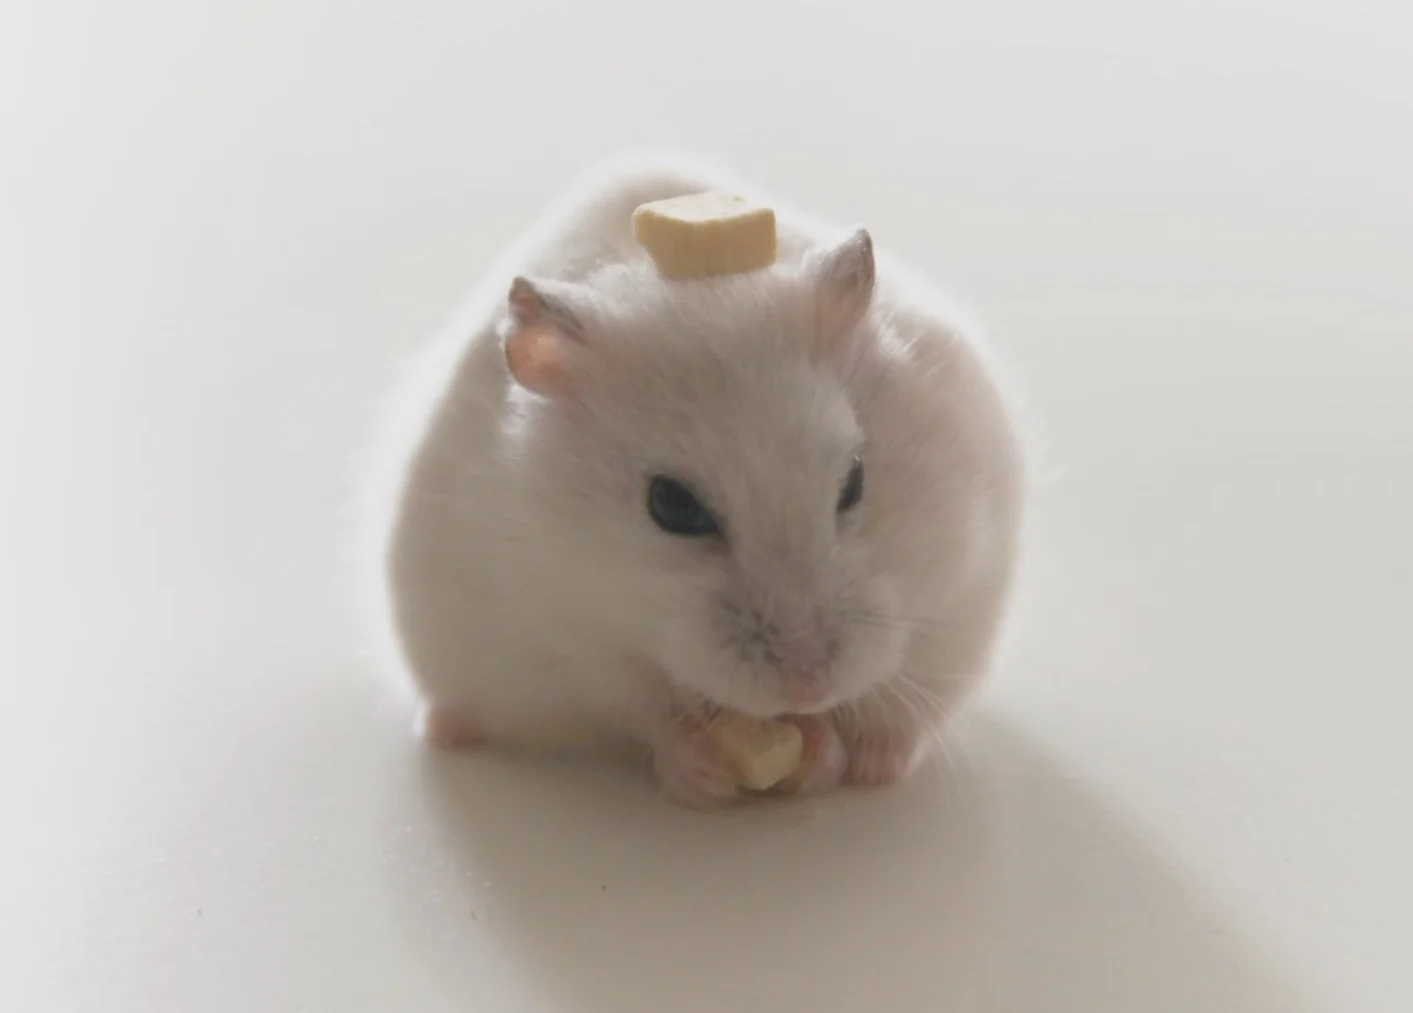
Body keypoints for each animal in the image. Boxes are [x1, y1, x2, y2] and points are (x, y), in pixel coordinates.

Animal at [360, 153, 1027, 807]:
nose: (808, 685)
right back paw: (444, 729)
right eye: (672, 506)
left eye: (856, 480)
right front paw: (708, 772)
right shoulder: (564, 641)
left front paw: (824, 755)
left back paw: (877, 765)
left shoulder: (963, 590)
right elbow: (645, 708)